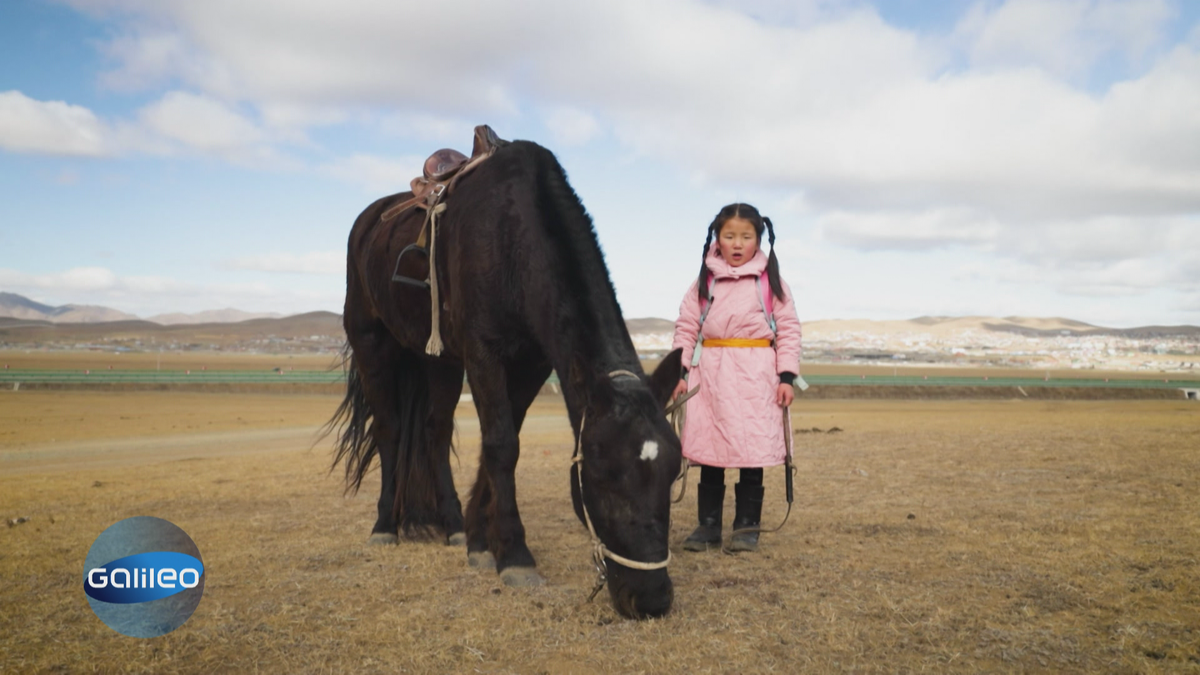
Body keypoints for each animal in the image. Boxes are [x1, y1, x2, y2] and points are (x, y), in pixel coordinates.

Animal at [326, 133, 686, 619]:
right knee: (389, 430)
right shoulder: (484, 353)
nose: (651, 599)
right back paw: (385, 525)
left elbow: (499, 441)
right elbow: (501, 445)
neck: (513, 235)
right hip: (373, 345)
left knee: (435, 432)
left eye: (674, 472)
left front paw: (481, 542)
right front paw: (514, 554)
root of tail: (369, 221)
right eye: (600, 474)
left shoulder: (532, 363)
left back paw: (453, 525)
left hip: (439, 361)